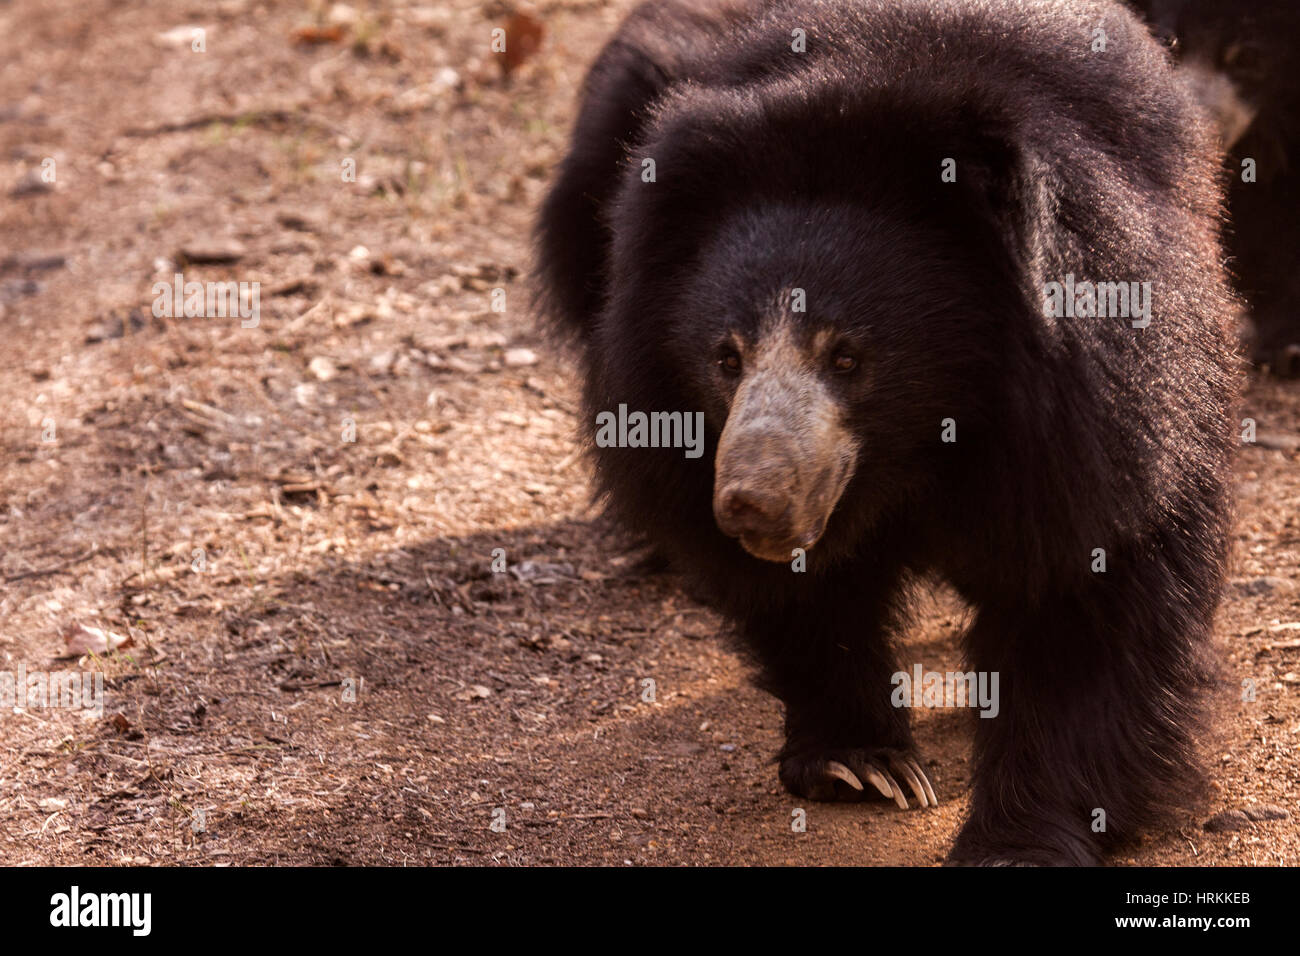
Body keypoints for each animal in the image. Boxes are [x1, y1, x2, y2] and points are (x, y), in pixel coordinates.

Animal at [535, 0, 1237, 868]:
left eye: (847, 356)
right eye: (727, 357)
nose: (750, 504)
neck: (922, 449)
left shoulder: (1097, 424)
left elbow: (1088, 597)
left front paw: (1019, 840)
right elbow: (808, 597)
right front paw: (859, 764)